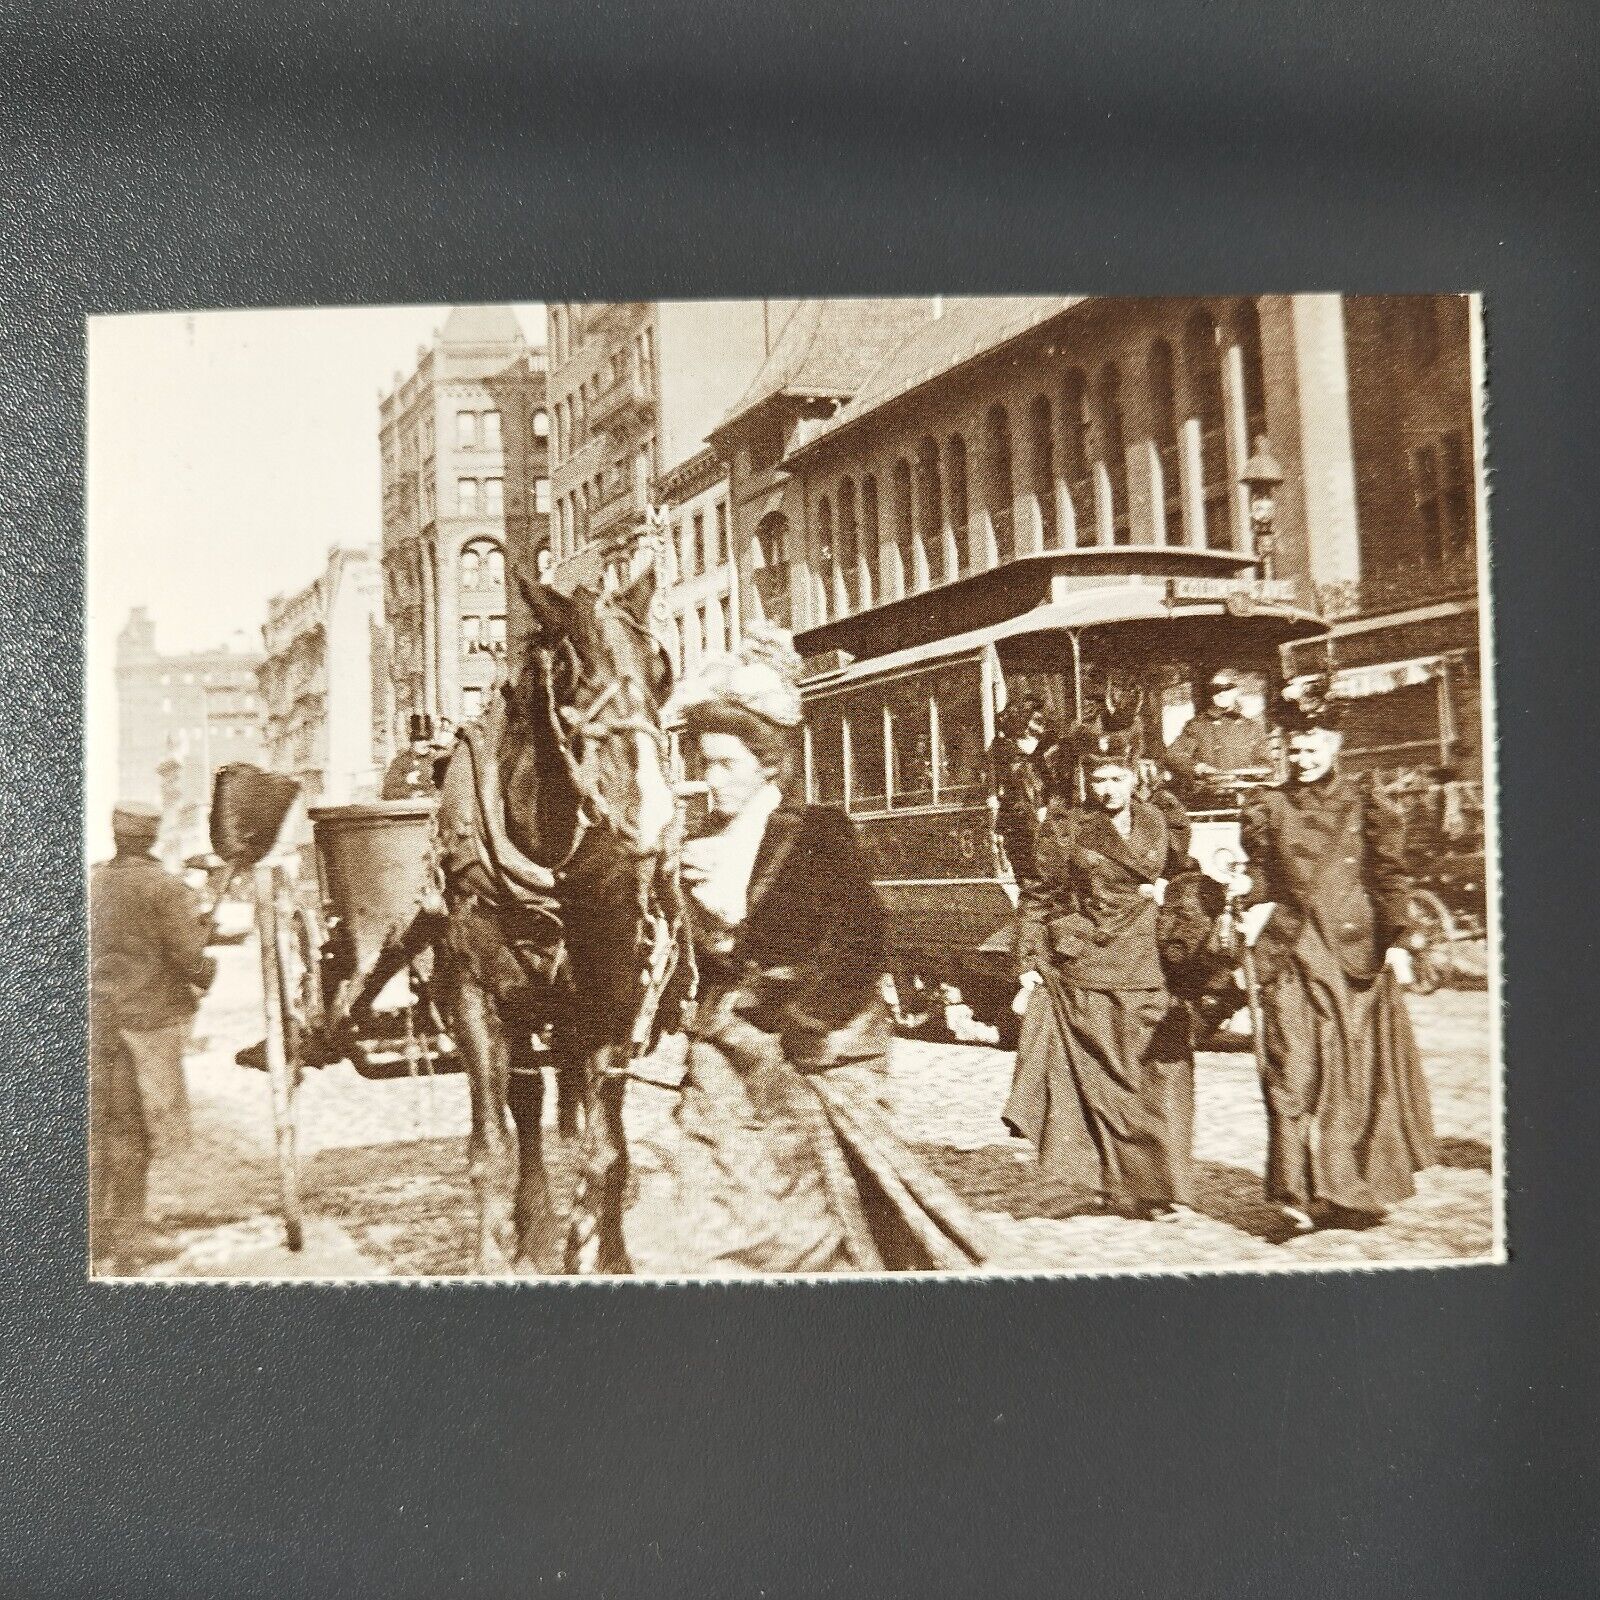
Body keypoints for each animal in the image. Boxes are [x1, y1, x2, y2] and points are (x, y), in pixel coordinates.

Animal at [435, 569, 684, 1267]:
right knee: (527, 1099)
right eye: (569, 671)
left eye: (663, 669)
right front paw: (496, 1254)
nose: (655, 819)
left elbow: (605, 1152)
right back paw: (535, 1226)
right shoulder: (473, 995)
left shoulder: (616, 998)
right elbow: (491, 1148)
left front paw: (602, 1248)